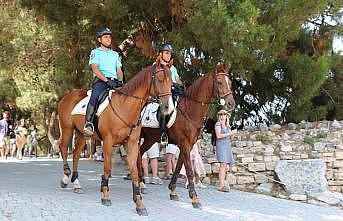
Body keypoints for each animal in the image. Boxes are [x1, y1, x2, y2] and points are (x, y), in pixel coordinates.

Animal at [58, 64, 175, 216]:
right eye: (160, 80)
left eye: (171, 83)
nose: (168, 108)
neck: (125, 106)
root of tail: (67, 96)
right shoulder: (108, 142)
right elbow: (108, 168)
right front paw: (105, 195)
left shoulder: (131, 144)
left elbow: (134, 171)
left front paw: (139, 203)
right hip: (67, 129)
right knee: (63, 148)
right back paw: (66, 178)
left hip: (83, 134)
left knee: (76, 154)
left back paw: (77, 183)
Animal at [138, 65, 235, 209]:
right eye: (219, 82)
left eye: (230, 82)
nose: (231, 104)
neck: (189, 110)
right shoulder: (184, 143)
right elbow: (189, 169)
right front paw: (194, 198)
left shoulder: (187, 145)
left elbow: (179, 166)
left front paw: (173, 191)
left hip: (149, 139)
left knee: (139, 154)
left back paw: (141, 183)